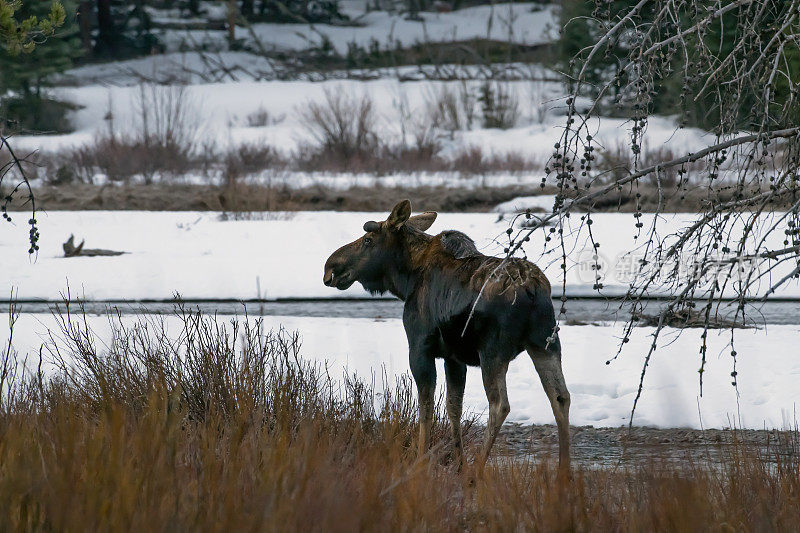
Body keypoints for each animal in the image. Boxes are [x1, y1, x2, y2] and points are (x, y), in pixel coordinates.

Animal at [322, 200, 572, 470]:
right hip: (546, 342)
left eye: (368, 240)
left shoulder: (420, 348)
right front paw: (459, 463)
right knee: (560, 396)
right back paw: (563, 472)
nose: (330, 268)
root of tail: (533, 289)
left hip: (493, 350)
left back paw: (478, 469)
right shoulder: (454, 357)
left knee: (500, 404)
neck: (407, 279)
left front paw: (421, 460)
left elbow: (426, 408)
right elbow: (454, 407)